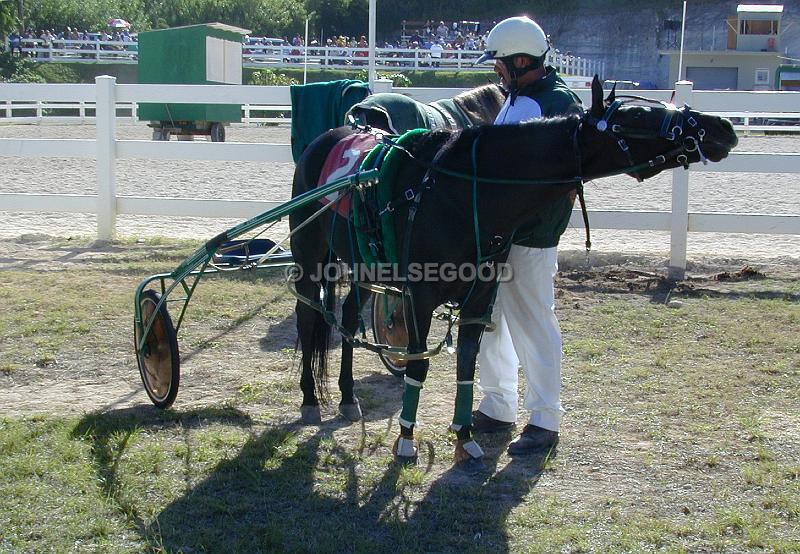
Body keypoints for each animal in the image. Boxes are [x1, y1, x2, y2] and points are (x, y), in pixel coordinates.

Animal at [290, 75, 736, 468]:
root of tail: (326, 139)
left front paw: (465, 437)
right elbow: (418, 366)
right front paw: (406, 441)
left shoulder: (478, 298)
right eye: (639, 114)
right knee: (308, 314)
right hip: (310, 255)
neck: (459, 191)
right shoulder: (419, 297)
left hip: (367, 266)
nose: (723, 126)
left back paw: (348, 396)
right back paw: (310, 399)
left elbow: (466, 366)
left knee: (348, 315)